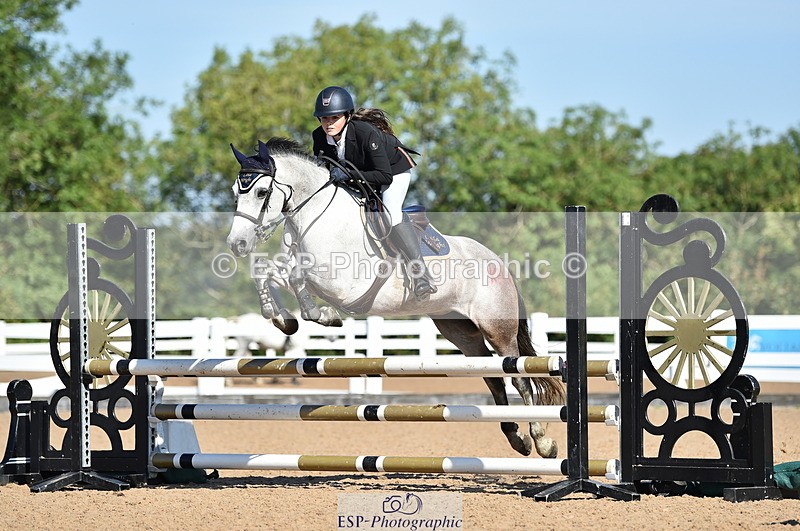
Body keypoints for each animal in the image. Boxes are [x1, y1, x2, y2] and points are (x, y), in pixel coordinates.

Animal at [225, 138, 564, 458]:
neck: (317, 215)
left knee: (518, 376)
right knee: (493, 376)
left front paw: (321, 315)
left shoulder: (342, 285)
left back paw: (541, 440)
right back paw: (516, 438)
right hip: (460, 331)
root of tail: (498, 261)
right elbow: (266, 271)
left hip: (497, 327)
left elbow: (295, 276)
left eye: (262, 192)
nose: (237, 244)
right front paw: (282, 319)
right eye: (235, 193)